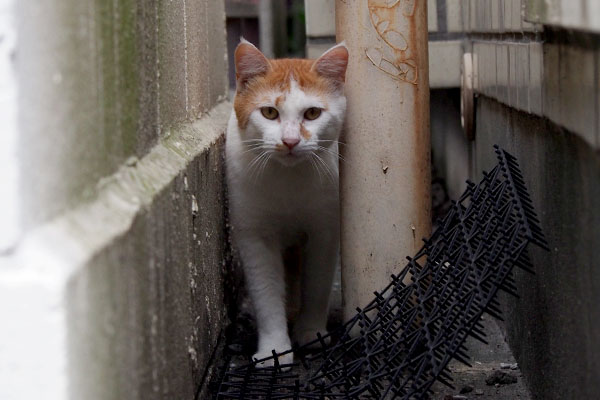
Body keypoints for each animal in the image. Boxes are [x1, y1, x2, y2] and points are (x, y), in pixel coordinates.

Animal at [224, 39, 346, 368]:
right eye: (269, 112)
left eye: (313, 113)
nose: (290, 141)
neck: (287, 183)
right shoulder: (255, 236)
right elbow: (266, 293)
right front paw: (274, 350)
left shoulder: (325, 230)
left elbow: (317, 284)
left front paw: (311, 332)